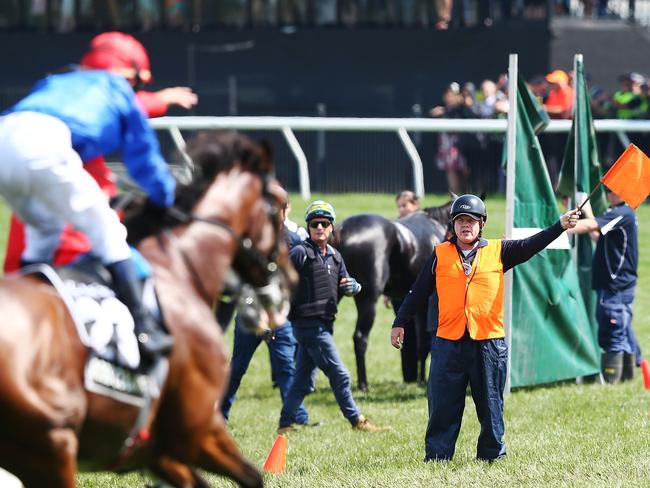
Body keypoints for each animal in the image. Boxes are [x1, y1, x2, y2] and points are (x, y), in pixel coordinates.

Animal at [0, 132, 292, 486]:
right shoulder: (196, 431)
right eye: (278, 206)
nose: (290, 278)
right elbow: (251, 476)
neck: (179, 266)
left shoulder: (157, 452)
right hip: (52, 447)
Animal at [330, 200, 450, 390]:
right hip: (368, 299)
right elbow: (423, 345)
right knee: (360, 338)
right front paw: (422, 381)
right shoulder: (424, 305)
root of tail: (342, 229)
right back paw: (363, 384)